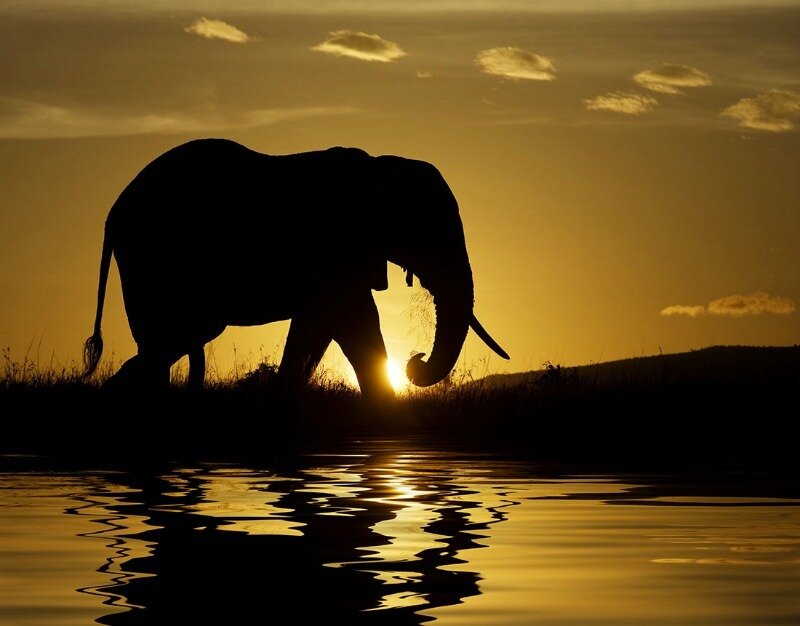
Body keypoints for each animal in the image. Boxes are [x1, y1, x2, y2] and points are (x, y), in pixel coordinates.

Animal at [83, 138, 509, 400]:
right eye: (426, 229)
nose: (415, 362)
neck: (379, 167)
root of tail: (111, 214)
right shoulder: (338, 246)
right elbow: (350, 321)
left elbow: (323, 326)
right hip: (150, 256)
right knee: (172, 336)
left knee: (169, 340)